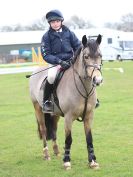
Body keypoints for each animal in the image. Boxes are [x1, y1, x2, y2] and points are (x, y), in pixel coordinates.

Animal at [28, 34, 103, 170]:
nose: (98, 80)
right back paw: (46, 154)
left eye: (100, 55)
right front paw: (67, 162)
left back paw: (57, 151)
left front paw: (92, 162)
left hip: (55, 114)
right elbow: (69, 139)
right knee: (43, 129)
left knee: (53, 129)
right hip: (37, 108)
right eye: (86, 56)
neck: (83, 88)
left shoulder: (89, 116)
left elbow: (89, 138)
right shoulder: (68, 117)